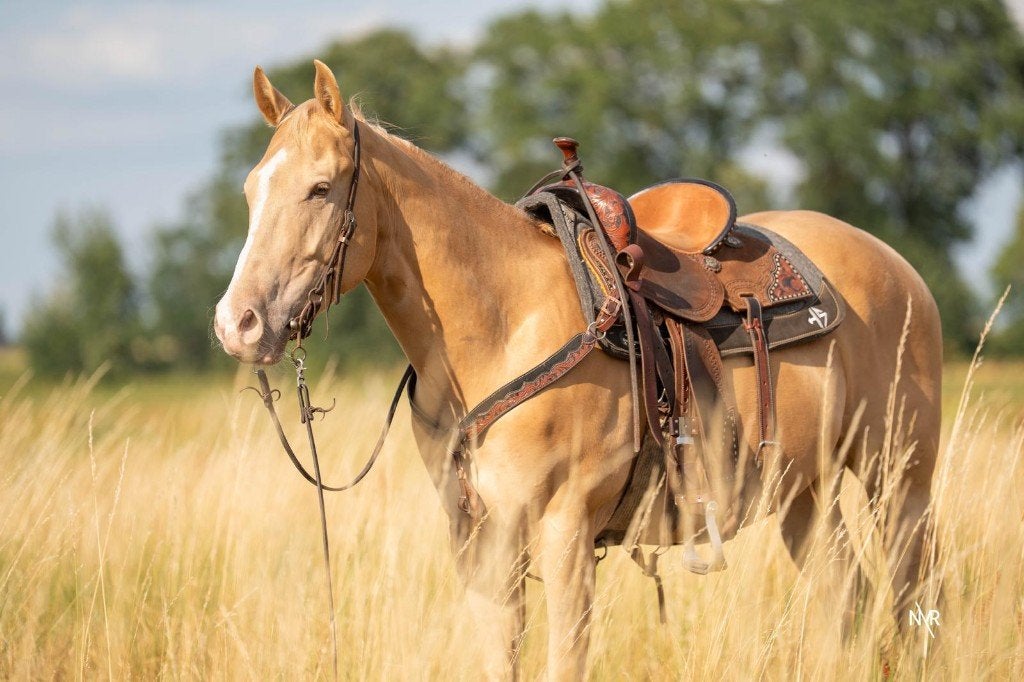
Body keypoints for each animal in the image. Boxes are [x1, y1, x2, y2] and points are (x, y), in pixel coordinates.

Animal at [213, 61, 942, 679]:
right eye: (250, 191)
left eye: (320, 188)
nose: (237, 323)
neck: (503, 325)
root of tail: (896, 265)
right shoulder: (482, 543)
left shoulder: (565, 531)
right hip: (804, 493)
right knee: (847, 600)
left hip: (899, 476)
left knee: (910, 597)